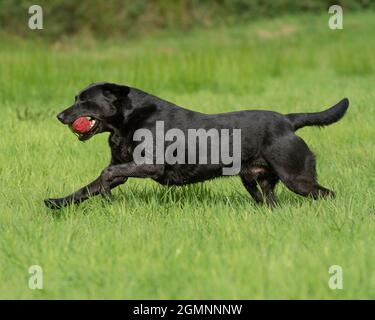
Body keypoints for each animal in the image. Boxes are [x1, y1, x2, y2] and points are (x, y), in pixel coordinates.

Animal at [44, 82, 350, 209]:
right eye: (75, 98)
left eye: (85, 101)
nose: (59, 115)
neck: (125, 121)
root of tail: (288, 120)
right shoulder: (123, 166)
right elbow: (87, 188)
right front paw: (57, 203)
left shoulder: (150, 165)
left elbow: (106, 177)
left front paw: (107, 195)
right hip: (257, 182)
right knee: (272, 202)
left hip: (297, 177)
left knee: (328, 194)